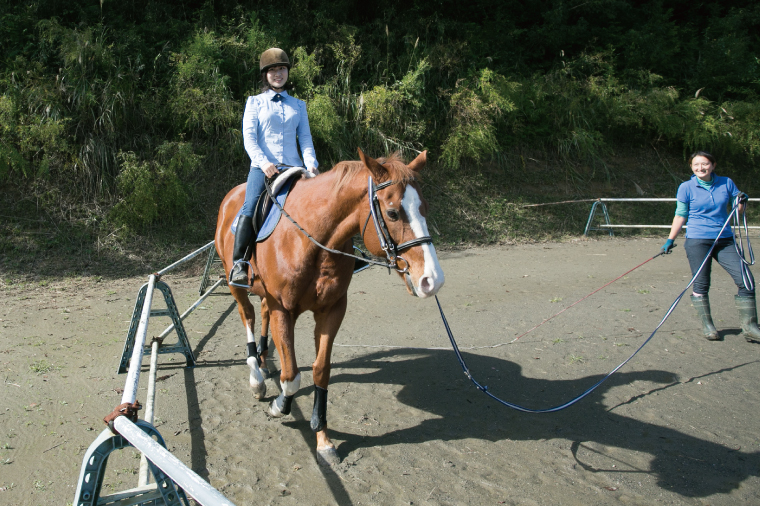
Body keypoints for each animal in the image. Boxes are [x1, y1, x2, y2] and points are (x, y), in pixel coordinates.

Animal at [214, 147, 446, 462]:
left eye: (425, 208)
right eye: (393, 212)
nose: (432, 280)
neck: (311, 238)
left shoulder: (332, 310)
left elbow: (321, 370)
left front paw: (322, 437)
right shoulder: (283, 309)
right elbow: (292, 374)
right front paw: (280, 406)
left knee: (260, 313)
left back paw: (263, 359)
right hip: (234, 283)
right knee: (247, 315)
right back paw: (256, 376)